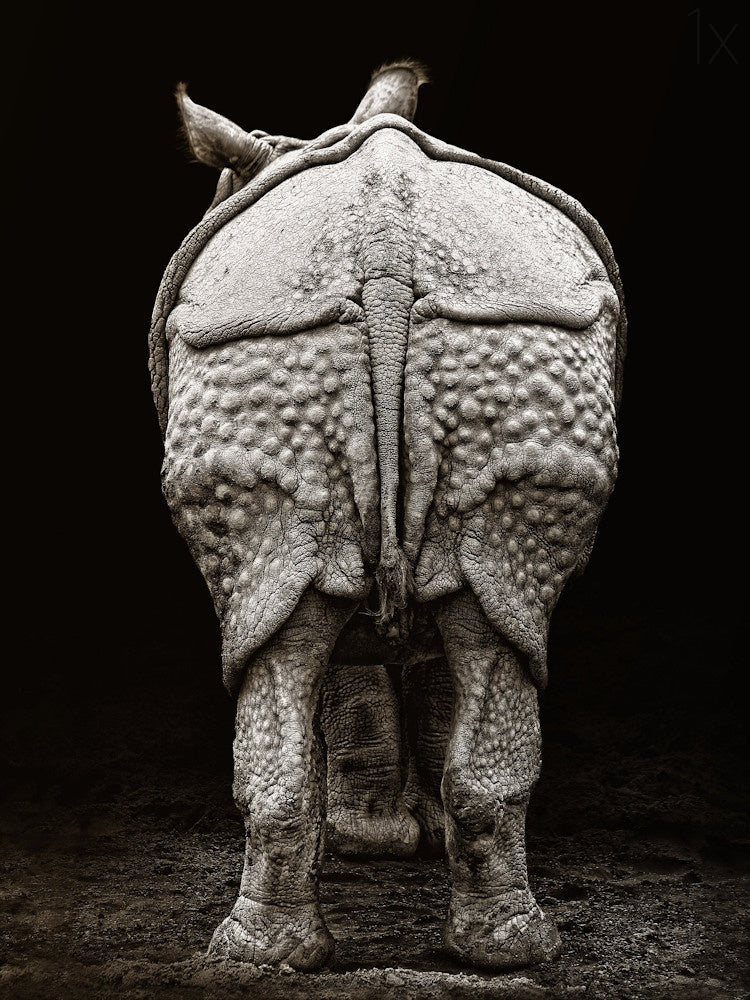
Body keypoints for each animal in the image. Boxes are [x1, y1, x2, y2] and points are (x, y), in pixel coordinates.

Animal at [149, 61, 626, 972]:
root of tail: (386, 253)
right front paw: (380, 840)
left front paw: (382, 839)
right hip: (465, 332)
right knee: (476, 615)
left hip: (341, 335)